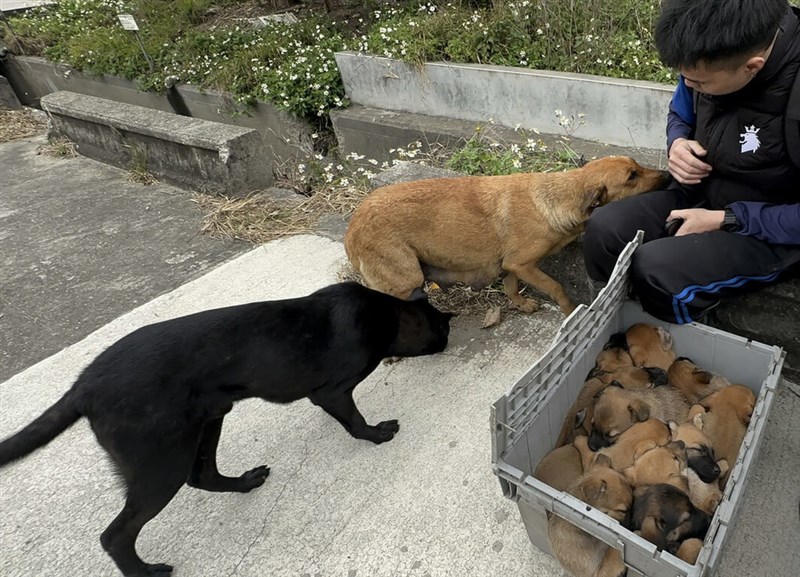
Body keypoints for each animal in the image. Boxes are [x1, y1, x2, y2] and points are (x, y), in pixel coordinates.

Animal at [0, 282, 450, 576]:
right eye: (442, 329)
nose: (447, 339)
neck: (386, 312)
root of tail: (83, 386)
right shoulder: (334, 392)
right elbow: (355, 422)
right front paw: (377, 433)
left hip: (206, 424)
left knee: (203, 476)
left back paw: (245, 483)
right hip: (162, 463)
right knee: (116, 536)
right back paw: (145, 572)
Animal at [344, 156, 668, 316]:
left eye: (636, 165)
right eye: (631, 177)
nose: (667, 175)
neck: (556, 197)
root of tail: (352, 227)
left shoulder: (510, 265)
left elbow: (511, 287)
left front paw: (521, 304)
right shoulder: (524, 264)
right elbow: (556, 287)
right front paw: (569, 311)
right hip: (407, 278)